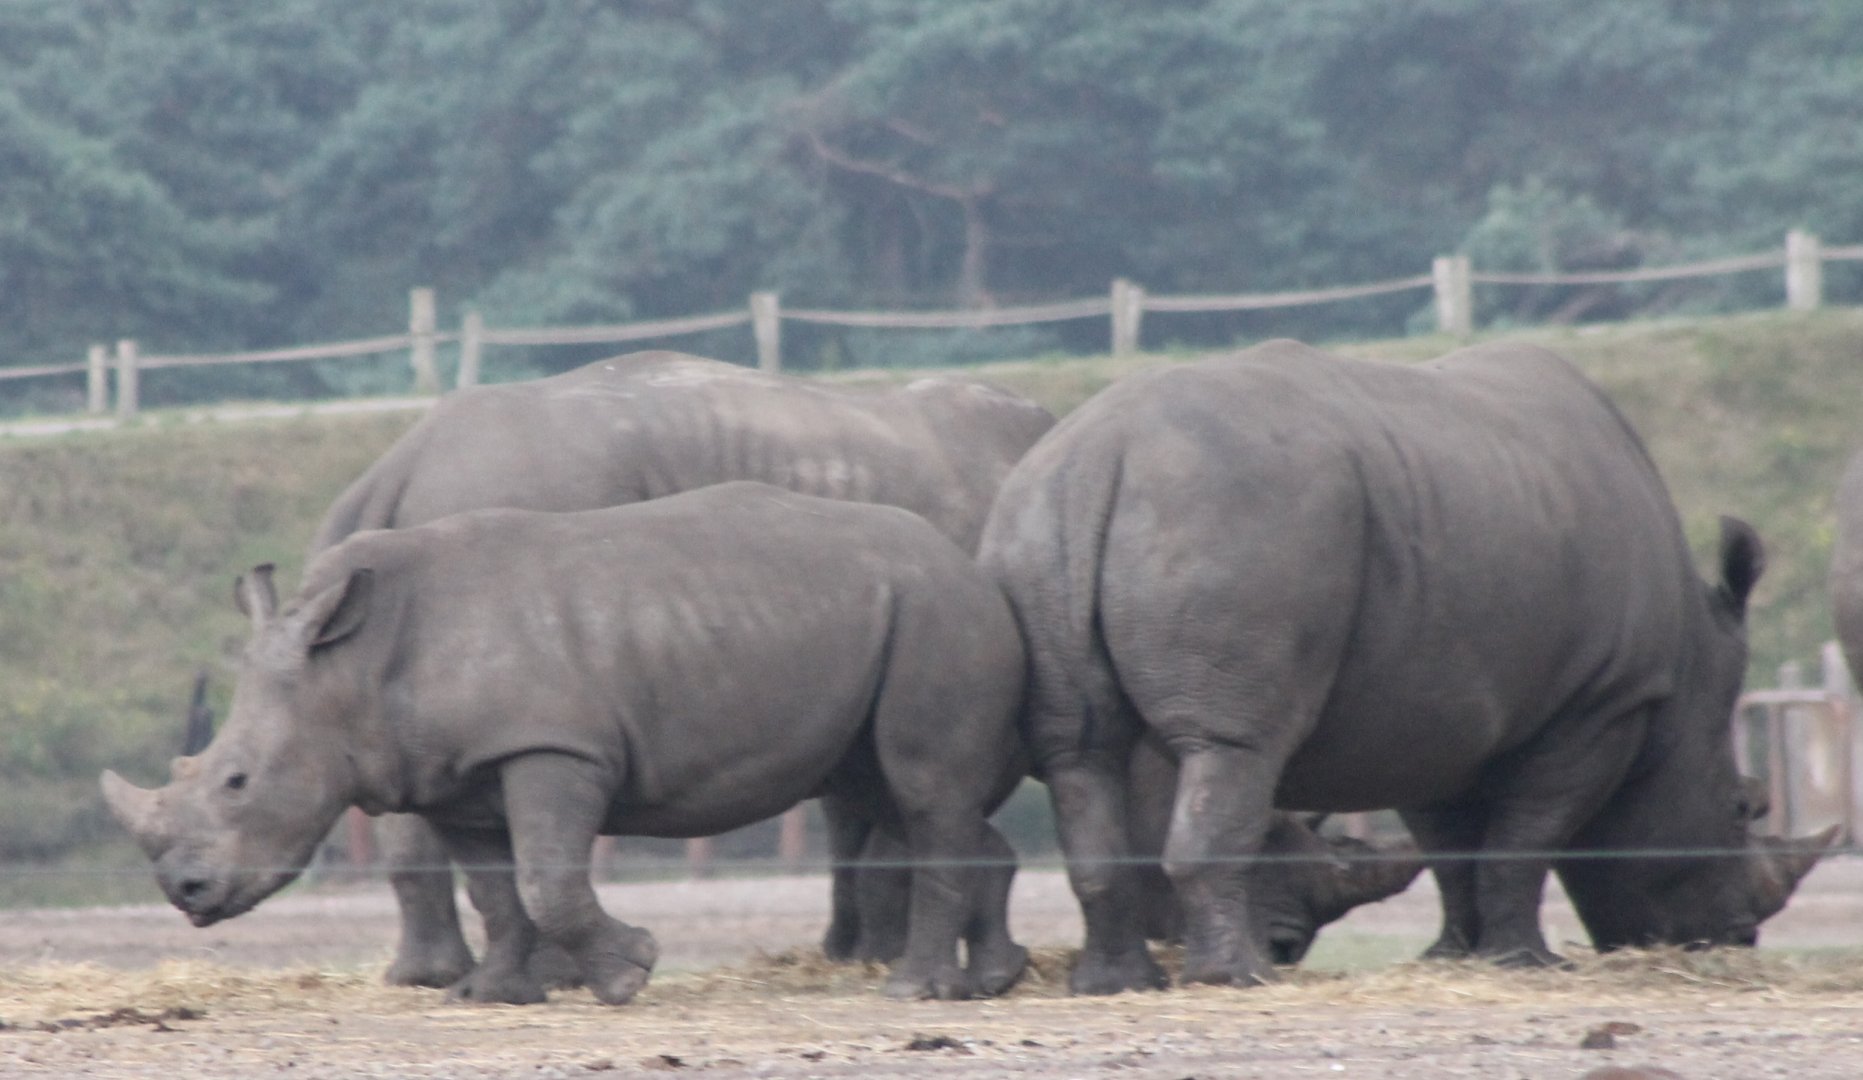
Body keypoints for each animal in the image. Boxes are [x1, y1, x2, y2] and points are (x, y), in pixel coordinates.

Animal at [105, 483, 1031, 1004]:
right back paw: (991, 981)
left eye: (236, 780)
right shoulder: (456, 774)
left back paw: (913, 992)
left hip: (935, 612)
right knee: (884, 786)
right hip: (888, 616)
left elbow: (546, 877)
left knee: (920, 786)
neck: (351, 666)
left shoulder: (551, 748)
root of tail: (969, 562)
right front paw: (488, 996)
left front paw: (629, 974)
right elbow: (494, 887)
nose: (184, 892)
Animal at [978, 339, 1834, 994]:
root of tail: (1101, 456)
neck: (1685, 681)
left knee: (1080, 752)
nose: (1732, 940)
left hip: (1042, 523)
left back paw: (1116, 985)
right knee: (1232, 749)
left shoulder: (1430, 708)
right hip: (1227, 518)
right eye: (1742, 808)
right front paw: (1526, 963)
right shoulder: (1602, 704)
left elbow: (1452, 843)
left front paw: (1455, 957)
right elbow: (1528, 839)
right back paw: (1236, 977)